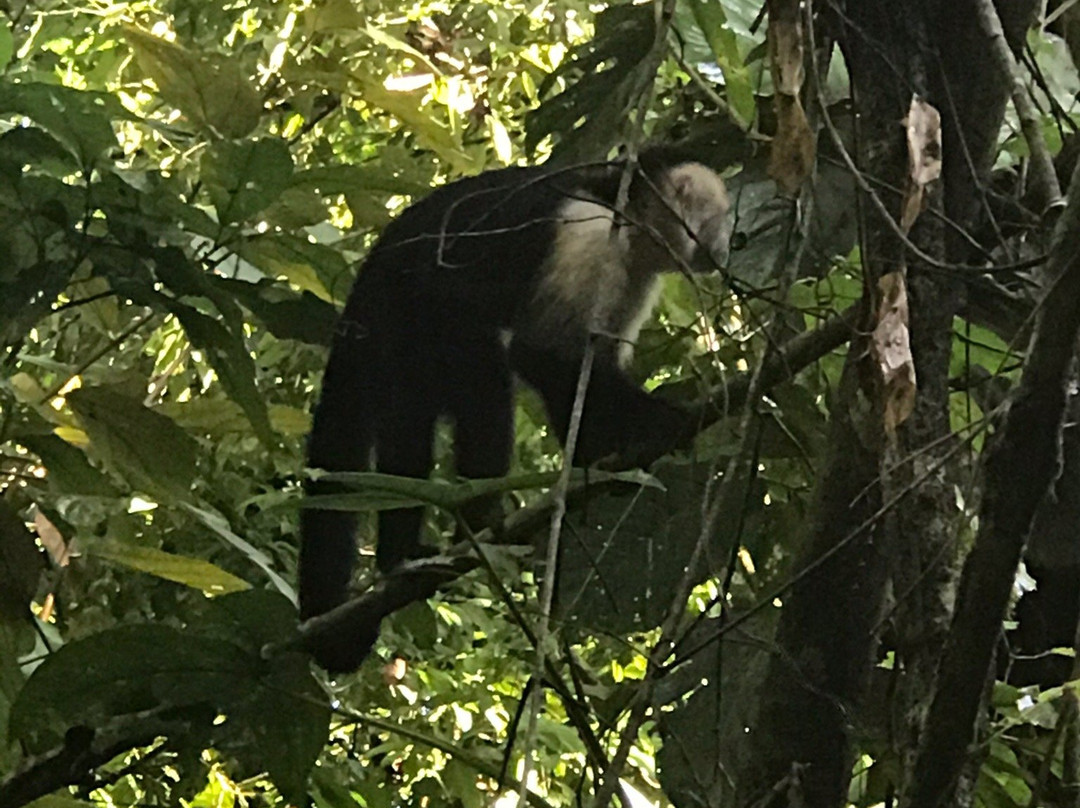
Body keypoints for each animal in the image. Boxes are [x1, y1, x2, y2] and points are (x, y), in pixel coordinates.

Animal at [300, 147, 730, 674]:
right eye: (721, 219)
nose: (727, 247)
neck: (628, 216)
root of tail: (363, 287)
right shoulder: (589, 235)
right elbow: (541, 354)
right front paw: (664, 419)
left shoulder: (636, 274)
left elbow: (589, 366)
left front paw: (597, 456)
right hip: (405, 318)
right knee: (481, 375)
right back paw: (473, 523)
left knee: (410, 432)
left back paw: (403, 556)